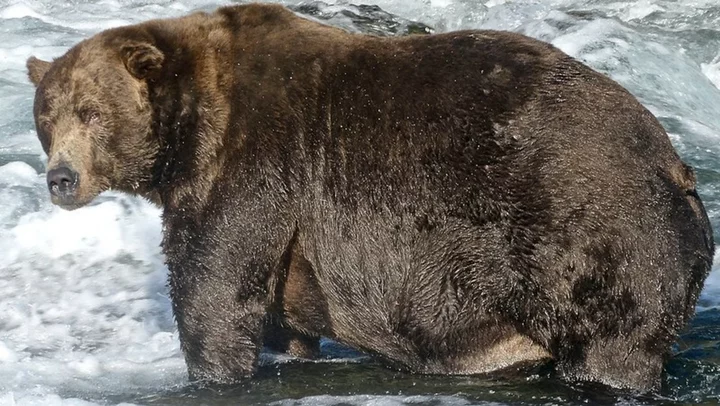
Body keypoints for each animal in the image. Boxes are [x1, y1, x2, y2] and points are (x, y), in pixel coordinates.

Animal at [26, 3, 714, 393]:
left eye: (90, 111)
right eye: (46, 117)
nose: (61, 178)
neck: (188, 132)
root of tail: (676, 165)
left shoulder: (255, 163)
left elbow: (214, 287)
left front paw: (210, 371)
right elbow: (277, 318)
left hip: (593, 239)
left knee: (612, 345)